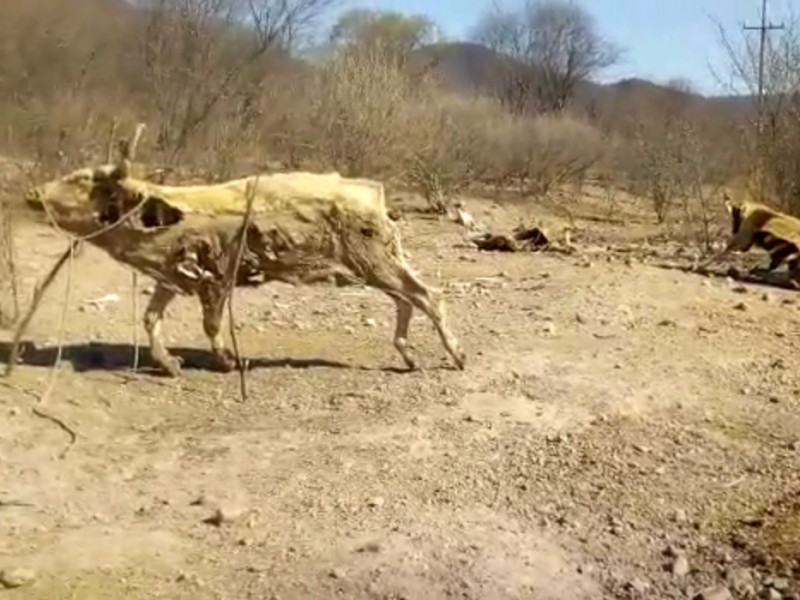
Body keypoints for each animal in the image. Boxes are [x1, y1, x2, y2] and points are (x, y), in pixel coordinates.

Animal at [25, 125, 466, 378]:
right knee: (408, 298)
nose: (33, 193)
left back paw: (456, 355)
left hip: (375, 260)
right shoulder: (172, 274)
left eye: (81, 180)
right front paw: (170, 365)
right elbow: (151, 318)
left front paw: (226, 362)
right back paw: (408, 356)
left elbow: (211, 323)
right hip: (378, 264)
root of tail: (374, 195)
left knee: (428, 296)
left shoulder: (216, 276)